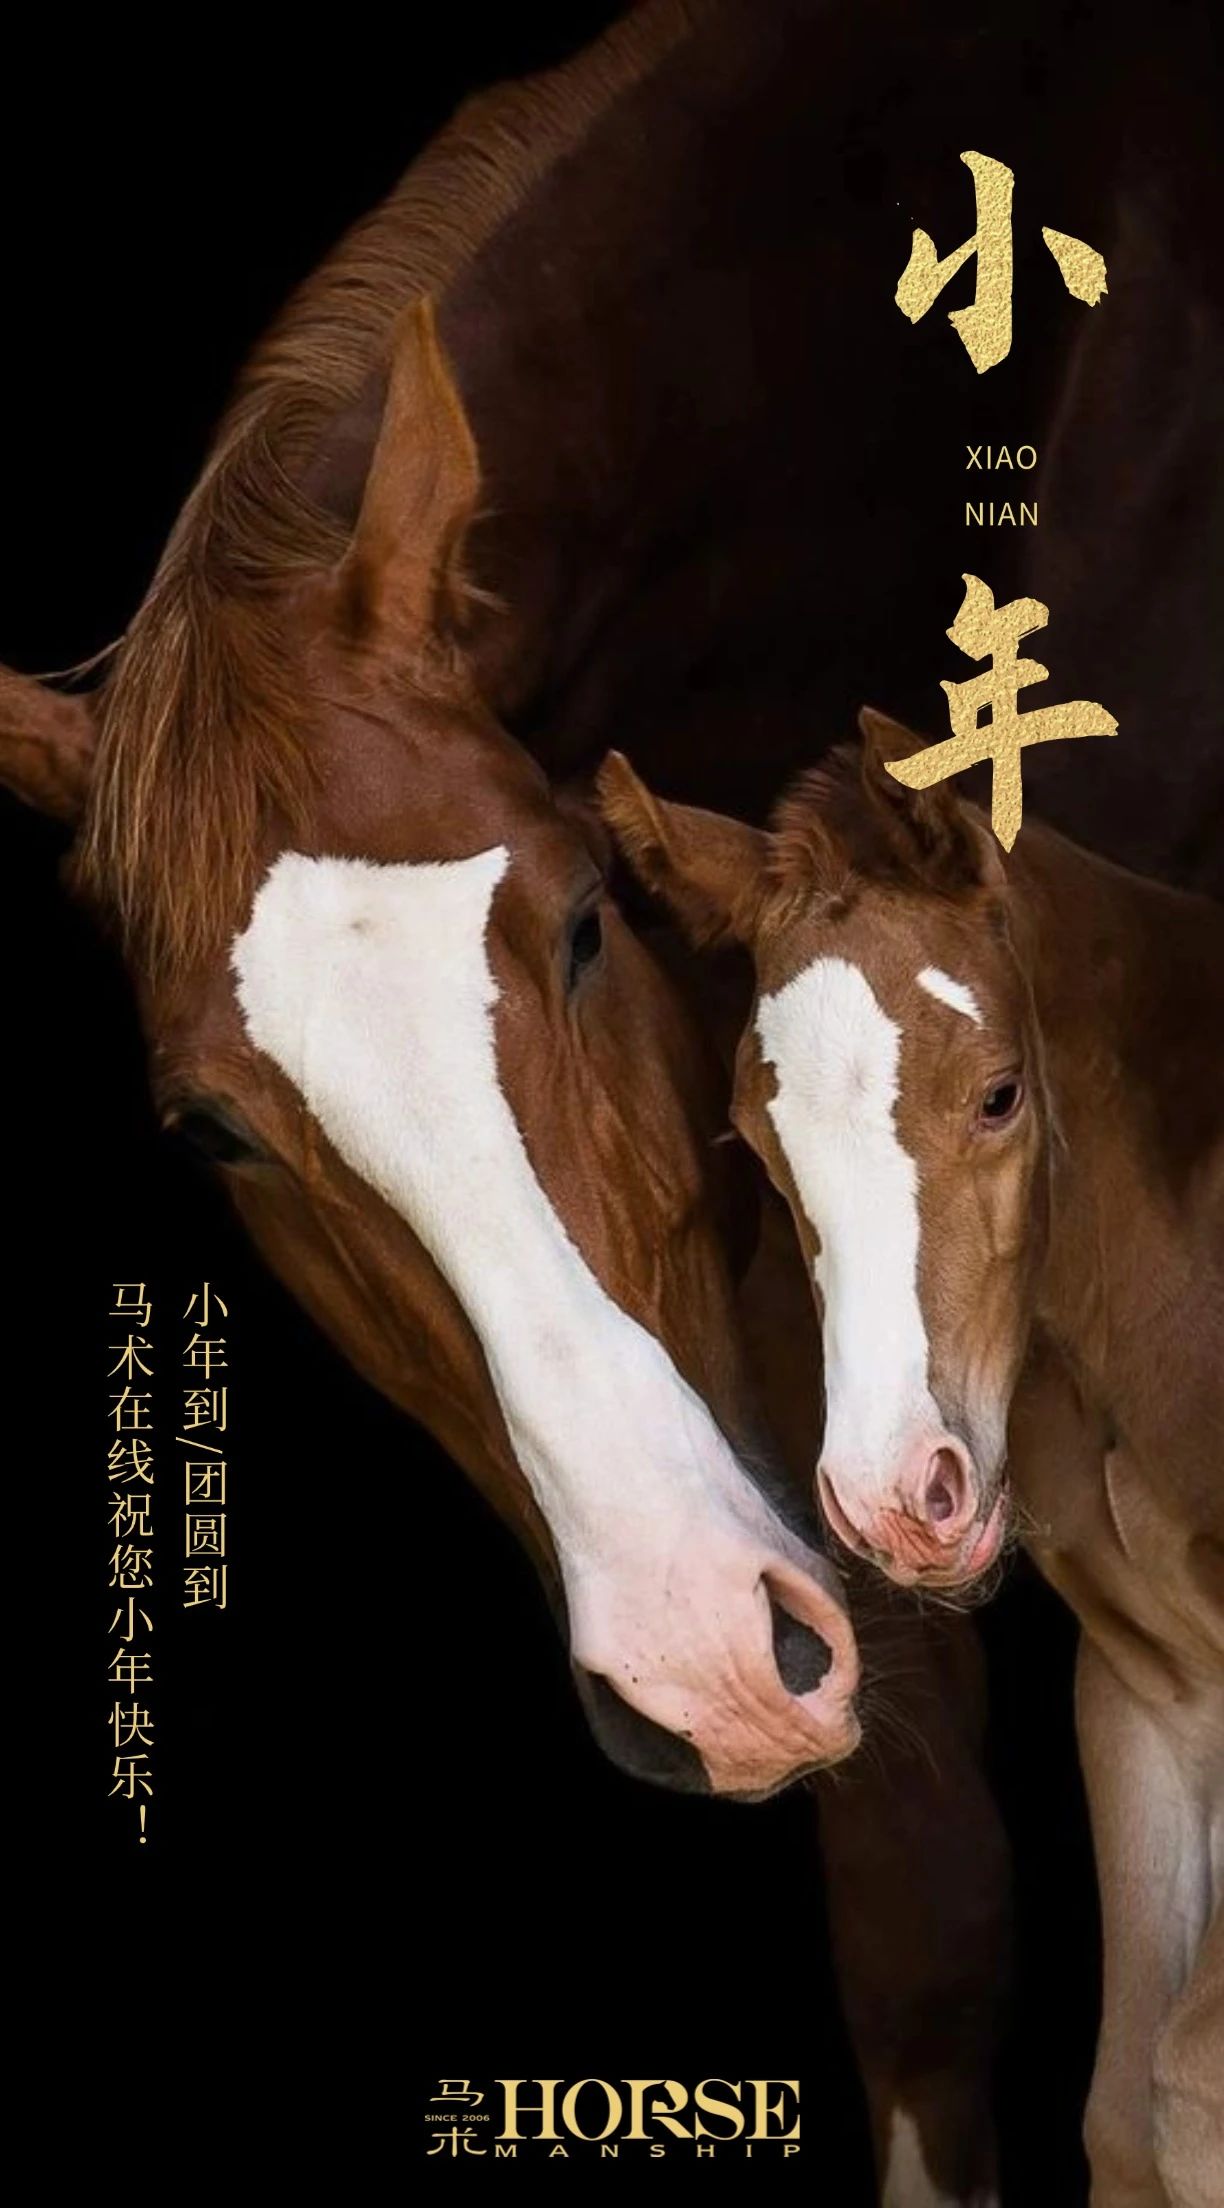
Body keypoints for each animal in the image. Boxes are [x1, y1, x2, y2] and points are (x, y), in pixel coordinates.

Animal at [599, 710, 1224, 2204]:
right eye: (757, 1145)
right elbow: (1131, 2113)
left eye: (1000, 1095)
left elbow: (1191, 2086)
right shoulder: (1150, 1691)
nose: (899, 1500)